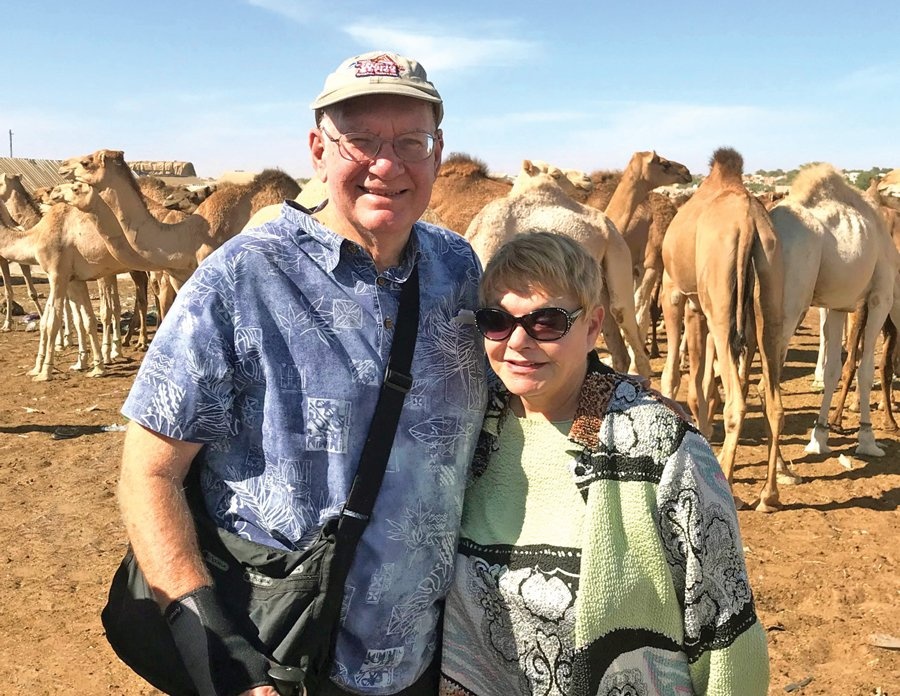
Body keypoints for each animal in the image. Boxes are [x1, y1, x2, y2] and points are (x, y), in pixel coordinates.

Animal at [660, 147, 788, 512]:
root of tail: (748, 224)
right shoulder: (702, 307)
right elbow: (704, 382)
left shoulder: (677, 295)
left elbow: (679, 378)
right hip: (767, 296)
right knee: (774, 403)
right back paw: (768, 495)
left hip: (718, 302)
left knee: (736, 403)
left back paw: (728, 483)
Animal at [768, 160, 900, 460]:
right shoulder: (881, 297)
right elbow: (866, 370)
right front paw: (867, 439)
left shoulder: (838, 306)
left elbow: (832, 371)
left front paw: (819, 437)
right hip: (790, 307)